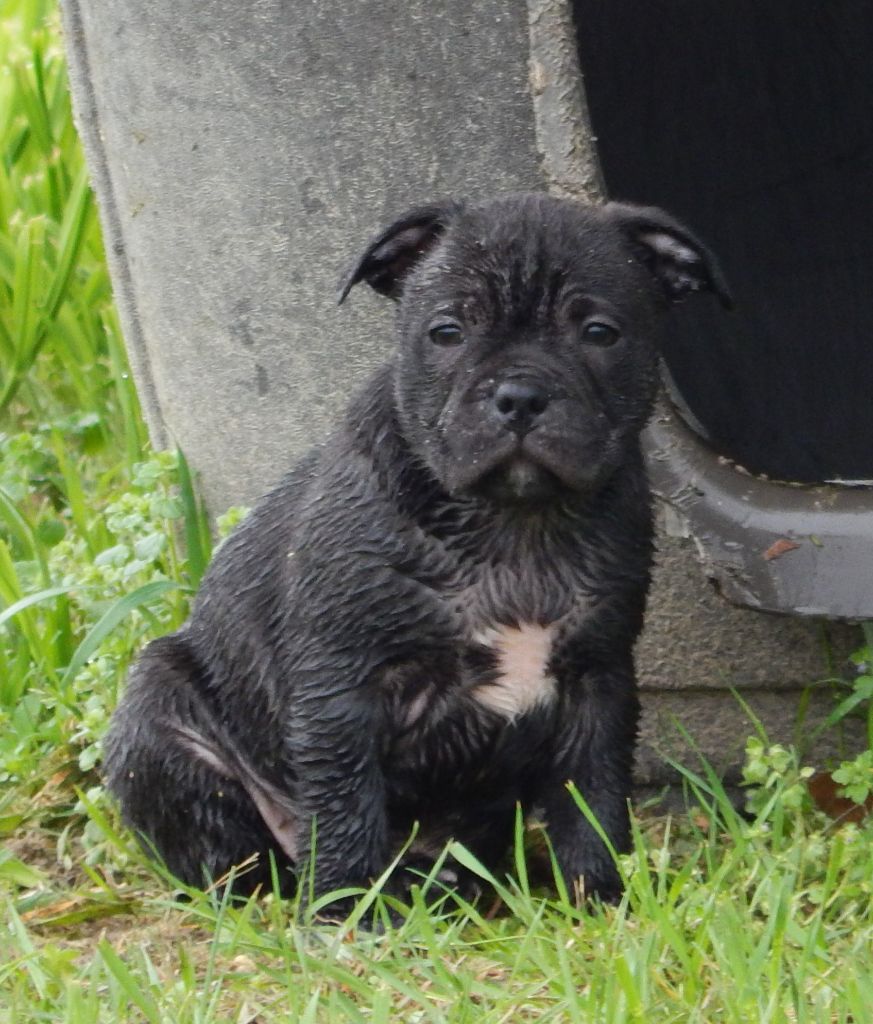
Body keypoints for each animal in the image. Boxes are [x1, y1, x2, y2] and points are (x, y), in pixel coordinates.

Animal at [103, 190, 728, 905]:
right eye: (446, 333)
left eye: (599, 333)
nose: (520, 394)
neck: (513, 523)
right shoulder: (341, 690)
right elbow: (345, 804)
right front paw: (348, 909)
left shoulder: (597, 684)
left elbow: (591, 799)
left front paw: (599, 897)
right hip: (161, 713)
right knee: (240, 858)